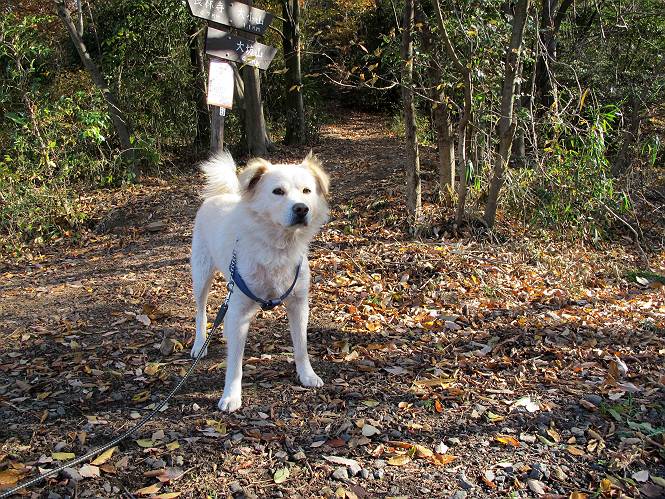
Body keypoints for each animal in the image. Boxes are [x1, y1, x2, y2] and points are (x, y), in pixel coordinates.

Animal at [190, 151, 329, 412]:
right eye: (278, 191)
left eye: (306, 191)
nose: (301, 209)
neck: (278, 246)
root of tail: (218, 196)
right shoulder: (241, 307)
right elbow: (235, 362)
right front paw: (231, 395)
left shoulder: (298, 304)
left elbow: (301, 346)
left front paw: (307, 374)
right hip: (202, 275)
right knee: (201, 312)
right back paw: (199, 343)